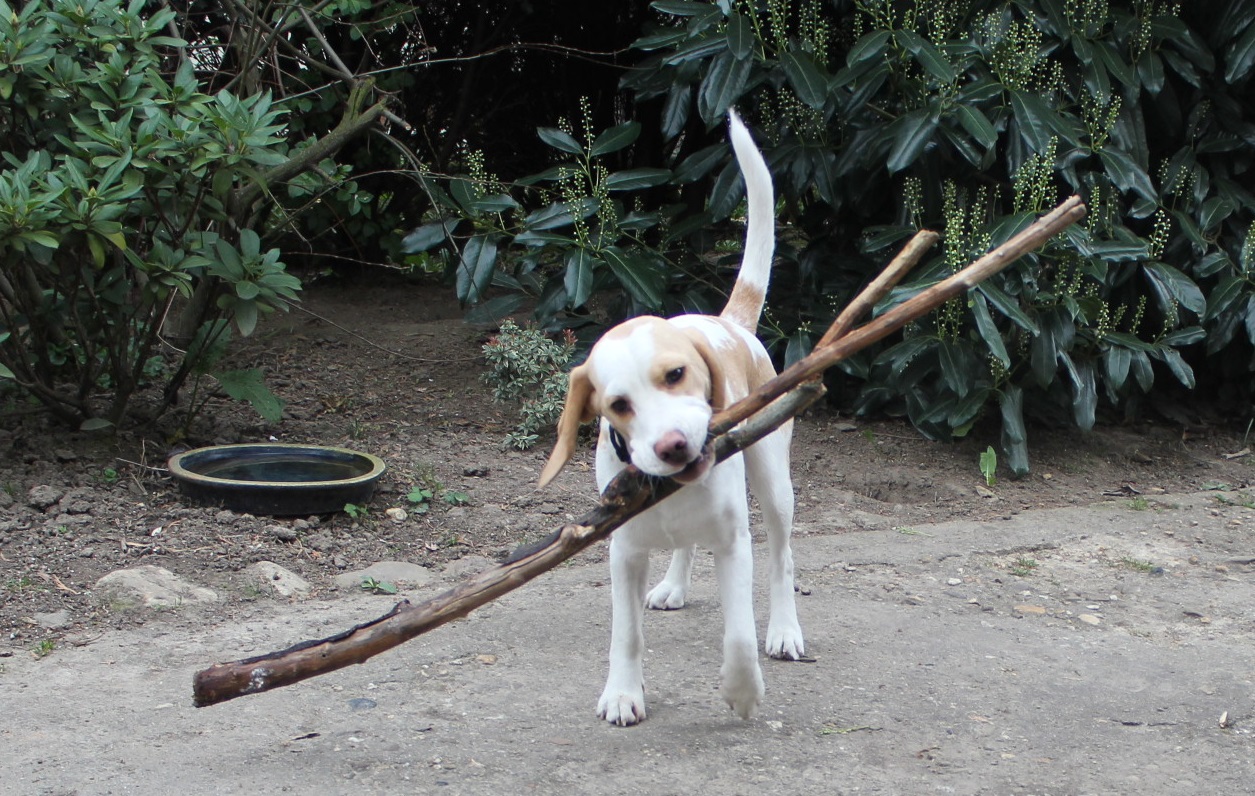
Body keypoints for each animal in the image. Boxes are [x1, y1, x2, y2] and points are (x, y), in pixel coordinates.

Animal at [539, 108, 803, 723]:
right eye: (618, 405)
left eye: (677, 374)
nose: (673, 446)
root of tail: (728, 322)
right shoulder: (622, 554)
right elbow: (626, 635)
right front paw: (622, 692)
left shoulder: (735, 544)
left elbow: (738, 634)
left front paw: (741, 689)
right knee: (685, 546)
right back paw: (675, 585)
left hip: (774, 481)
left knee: (782, 558)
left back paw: (784, 630)